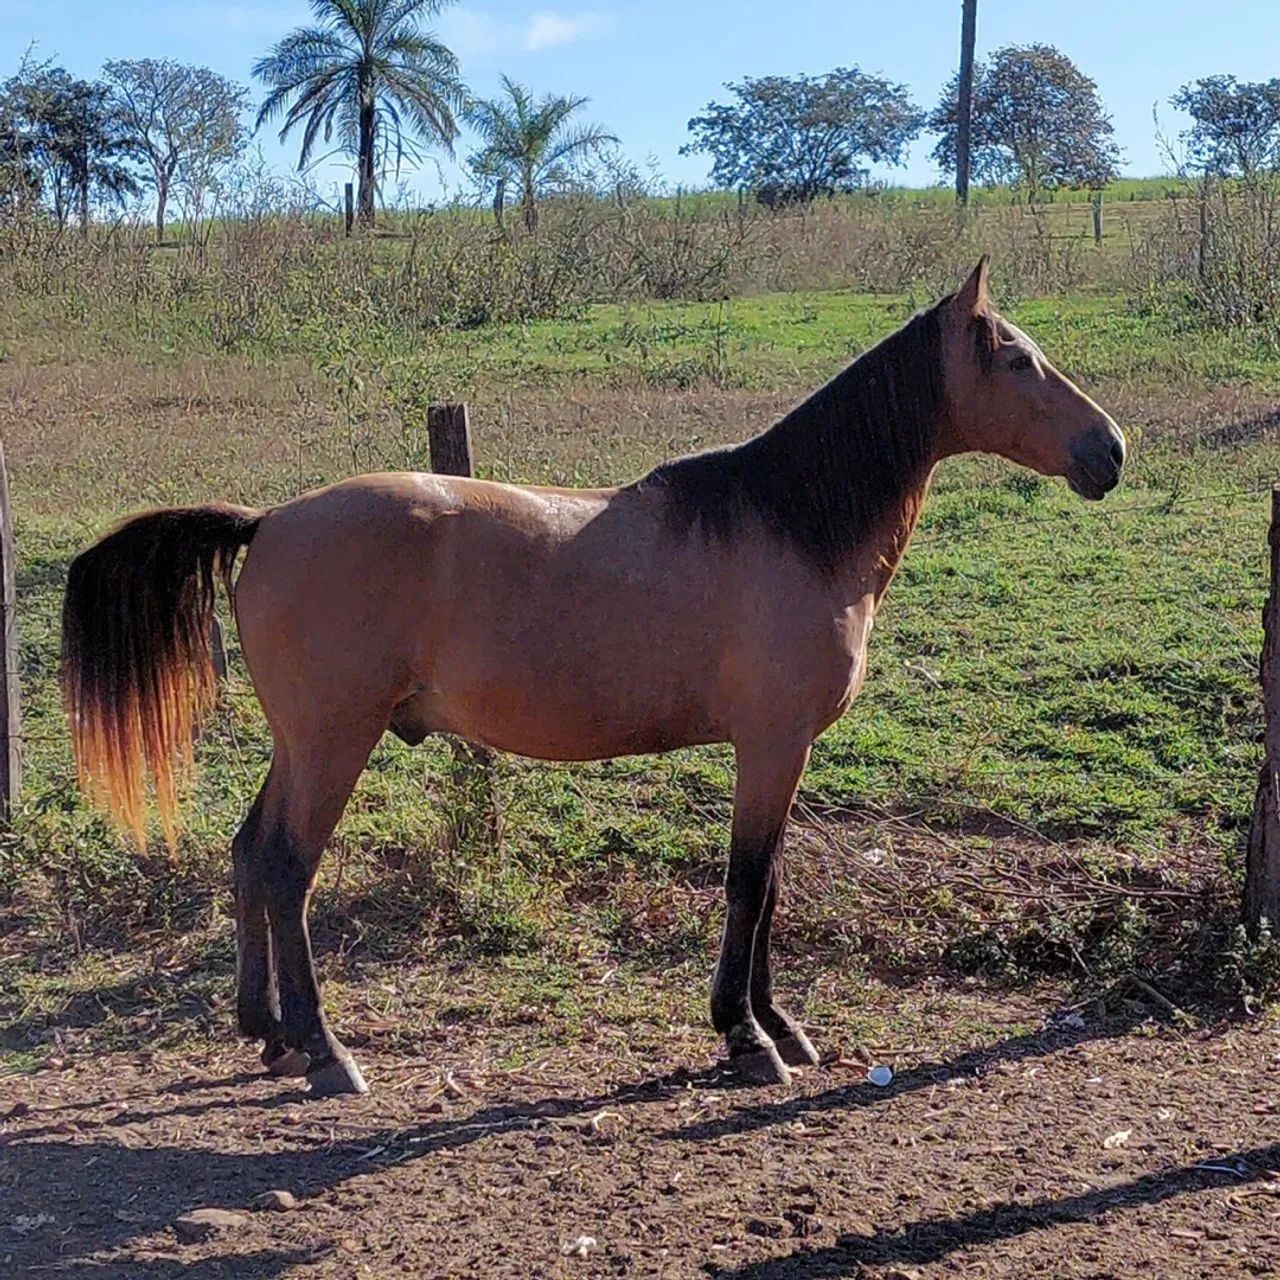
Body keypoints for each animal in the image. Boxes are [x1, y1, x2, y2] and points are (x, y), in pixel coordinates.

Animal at [61, 259, 1125, 1097]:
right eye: (1019, 360)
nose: (1110, 450)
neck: (789, 523)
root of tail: (267, 523)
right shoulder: (770, 744)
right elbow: (748, 884)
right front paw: (747, 1036)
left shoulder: (781, 753)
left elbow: (771, 882)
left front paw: (780, 1026)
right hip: (333, 743)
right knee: (287, 870)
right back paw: (324, 1052)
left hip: (302, 743)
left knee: (249, 855)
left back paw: (269, 1036)